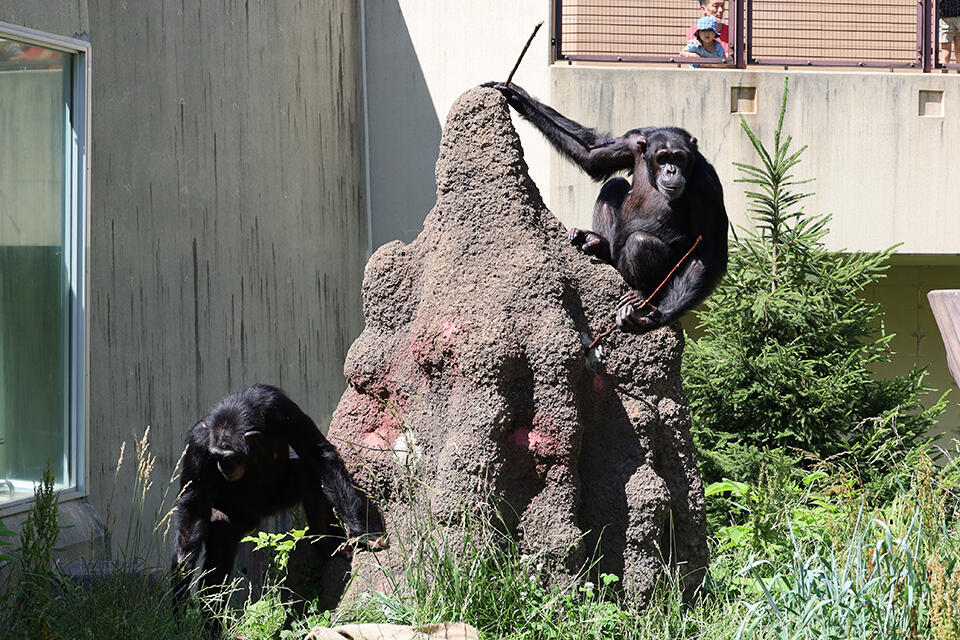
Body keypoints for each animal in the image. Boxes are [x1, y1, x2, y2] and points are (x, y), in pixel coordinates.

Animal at [171, 382, 384, 628]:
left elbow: (317, 453)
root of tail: (253, 519)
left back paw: (329, 546)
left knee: (306, 472)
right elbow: (193, 505)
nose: (223, 467)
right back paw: (211, 625)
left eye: (229, 456)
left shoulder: (281, 408)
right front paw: (181, 582)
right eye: (216, 456)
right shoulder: (198, 443)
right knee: (219, 554)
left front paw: (365, 532)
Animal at [488, 81, 728, 336]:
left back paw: (643, 296)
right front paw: (516, 94)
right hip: (616, 260)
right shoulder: (633, 141)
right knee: (613, 185)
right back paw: (597, 243)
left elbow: (709, 252)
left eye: (679, 157)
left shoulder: (708, 187)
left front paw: (657, 318)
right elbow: (593, 154)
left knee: (639, 241)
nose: (671, 170)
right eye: (663, 158)